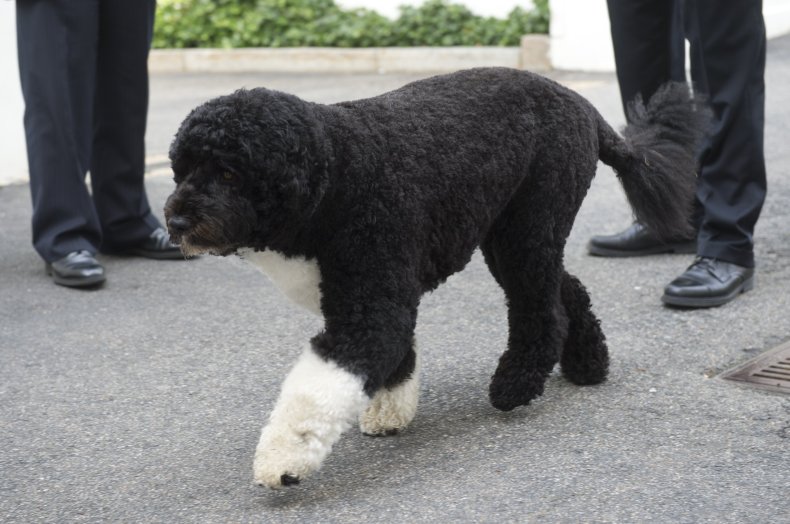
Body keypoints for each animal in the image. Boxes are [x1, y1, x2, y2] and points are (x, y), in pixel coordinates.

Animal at [164, 67, 708, 490]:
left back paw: (515, 384)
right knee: (567, 288)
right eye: (181, 169)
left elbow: (315, 391)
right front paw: (390, 411)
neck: (337, 175)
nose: (176, 221)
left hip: (530, 226)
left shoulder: (372, 307)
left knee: (543, 309)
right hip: (514, 232)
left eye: (229, 172)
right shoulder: (378, 299)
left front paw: (283, 461)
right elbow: (397, 358)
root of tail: (581, 104)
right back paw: (589, 364)